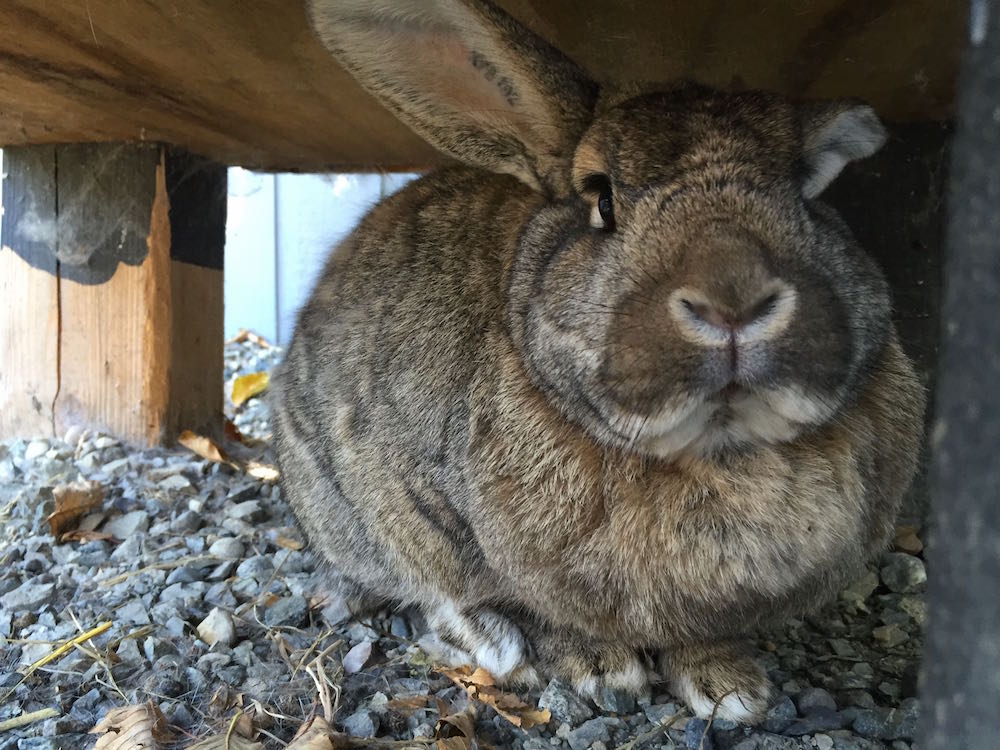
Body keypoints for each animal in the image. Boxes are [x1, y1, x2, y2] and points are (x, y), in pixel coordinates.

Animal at [271, 0, 925, 724]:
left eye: (807, 195)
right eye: (602, 199)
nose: (733, 299)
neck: (717, 445)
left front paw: (730, 688)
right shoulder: (422, 503)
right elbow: (482, 593)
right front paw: (598, 667)